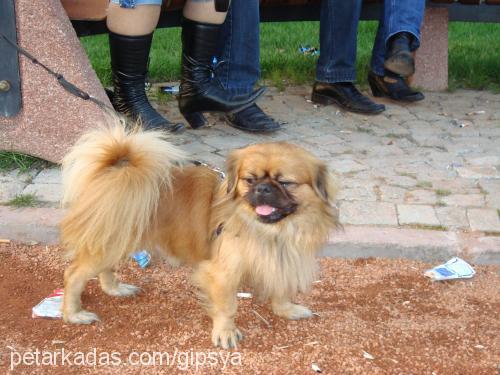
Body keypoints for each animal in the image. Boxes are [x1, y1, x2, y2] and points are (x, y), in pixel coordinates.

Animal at [60, 120, 338, 350]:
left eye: (286, 183)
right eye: (249, 180)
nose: (263, 189)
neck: (270, 230)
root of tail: (114, 172)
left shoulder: (280, 261)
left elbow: (280, 291)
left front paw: (287, 310)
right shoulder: (222, 273)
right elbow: (227, 307)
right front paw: (225, 333)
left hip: (118, 240)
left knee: (104, 269)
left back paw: (115, 289)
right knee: (73, 275)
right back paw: (74, 314)